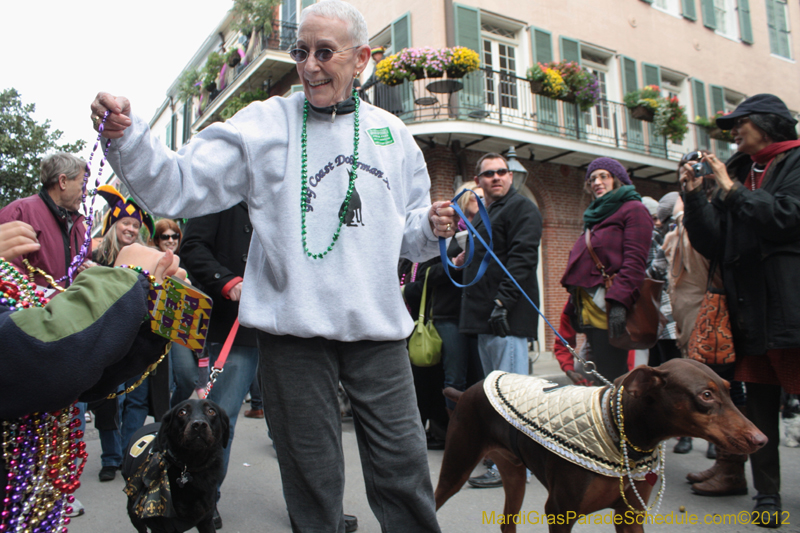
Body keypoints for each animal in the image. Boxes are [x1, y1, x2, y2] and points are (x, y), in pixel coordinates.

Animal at [122, 400, 228, 532]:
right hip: (133, 510)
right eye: (182, 412)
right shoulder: (160, 527)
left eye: (211, 411)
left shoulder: (206, 520)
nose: (199, 424)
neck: (191, 465)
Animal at [438, 358, 768, 532]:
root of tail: (466, 391)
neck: (620, 432)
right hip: (456, 467)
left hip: (514, 472)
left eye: (728, 389)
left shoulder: (630, 515)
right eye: (705, 396)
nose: (761, 439)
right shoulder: (559, 512)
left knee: (507, 522)